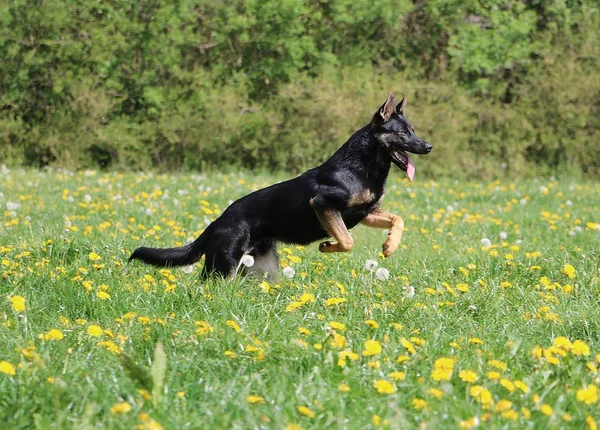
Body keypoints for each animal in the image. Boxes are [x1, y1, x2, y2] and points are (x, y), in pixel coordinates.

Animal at [130, 91, 432, 278]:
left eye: (413, 130)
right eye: (403, 133)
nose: (428, 147)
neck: (363, 165)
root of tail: (217, 221)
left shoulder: (366, 212)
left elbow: (398, 219)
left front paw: (390, 245)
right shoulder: (323, 203)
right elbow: (347, 240)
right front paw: (327, 246)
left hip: (261, 267)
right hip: (224, 264)